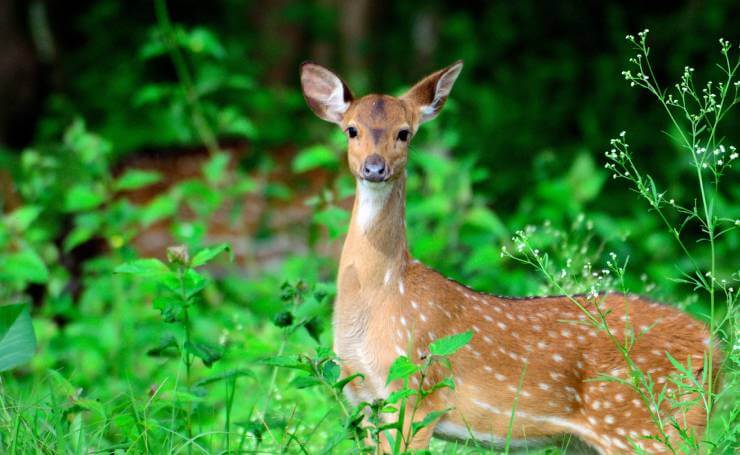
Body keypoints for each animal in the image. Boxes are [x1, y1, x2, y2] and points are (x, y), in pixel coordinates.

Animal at [298, 61, 720, 455]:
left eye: (405, 132)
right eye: (351, 129)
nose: (374, 167)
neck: (384, 295)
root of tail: (715, 350)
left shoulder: (415, 393)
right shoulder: (366, 401)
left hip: (644, 423)